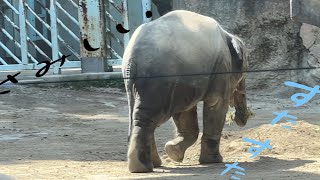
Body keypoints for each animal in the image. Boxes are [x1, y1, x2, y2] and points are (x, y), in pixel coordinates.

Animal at [122, 9, 250, 173]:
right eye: (245, 69)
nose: (239, 119)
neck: (227, 35)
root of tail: (133, 58)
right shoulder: (221, 68)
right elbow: (216, 104)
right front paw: (214, 161)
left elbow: (185, 112)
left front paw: (173, 152)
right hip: (158, 81)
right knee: (149, 117)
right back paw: (143, 168)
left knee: (141, 117)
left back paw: (153, 164)